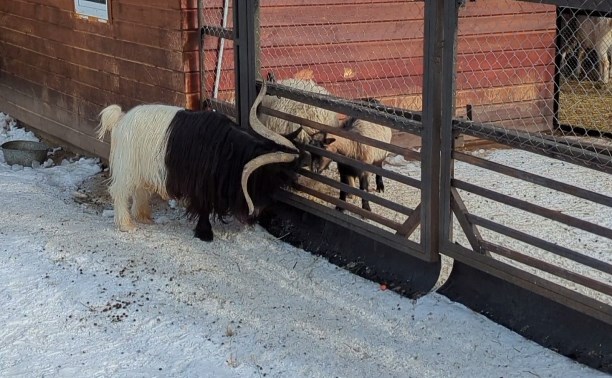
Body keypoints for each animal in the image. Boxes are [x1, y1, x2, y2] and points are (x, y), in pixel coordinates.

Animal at [97, 82, 304, 242]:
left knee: (140, 191)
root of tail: (120, 120)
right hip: (127, 166)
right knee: (119, 191)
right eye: (282, 169)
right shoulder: (201, 185)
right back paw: (126, 224)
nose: (298, 180)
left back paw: (144, 217)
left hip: (142, 169)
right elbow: (204, 207)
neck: (228, 149)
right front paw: (205, 234)